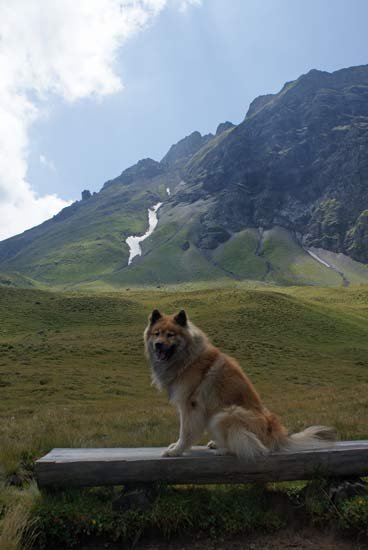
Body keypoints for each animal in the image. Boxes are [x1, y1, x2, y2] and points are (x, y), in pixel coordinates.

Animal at [144, 308, 336, 460]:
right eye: (156, 333)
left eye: (171, 334)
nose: (158, 345)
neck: (187, 359)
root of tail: (276, 434)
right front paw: (175, 447)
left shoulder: (190, 405)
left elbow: (185, 431)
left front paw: (176, 451)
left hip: (224, 414)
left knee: (250, 446)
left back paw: (223, 450)